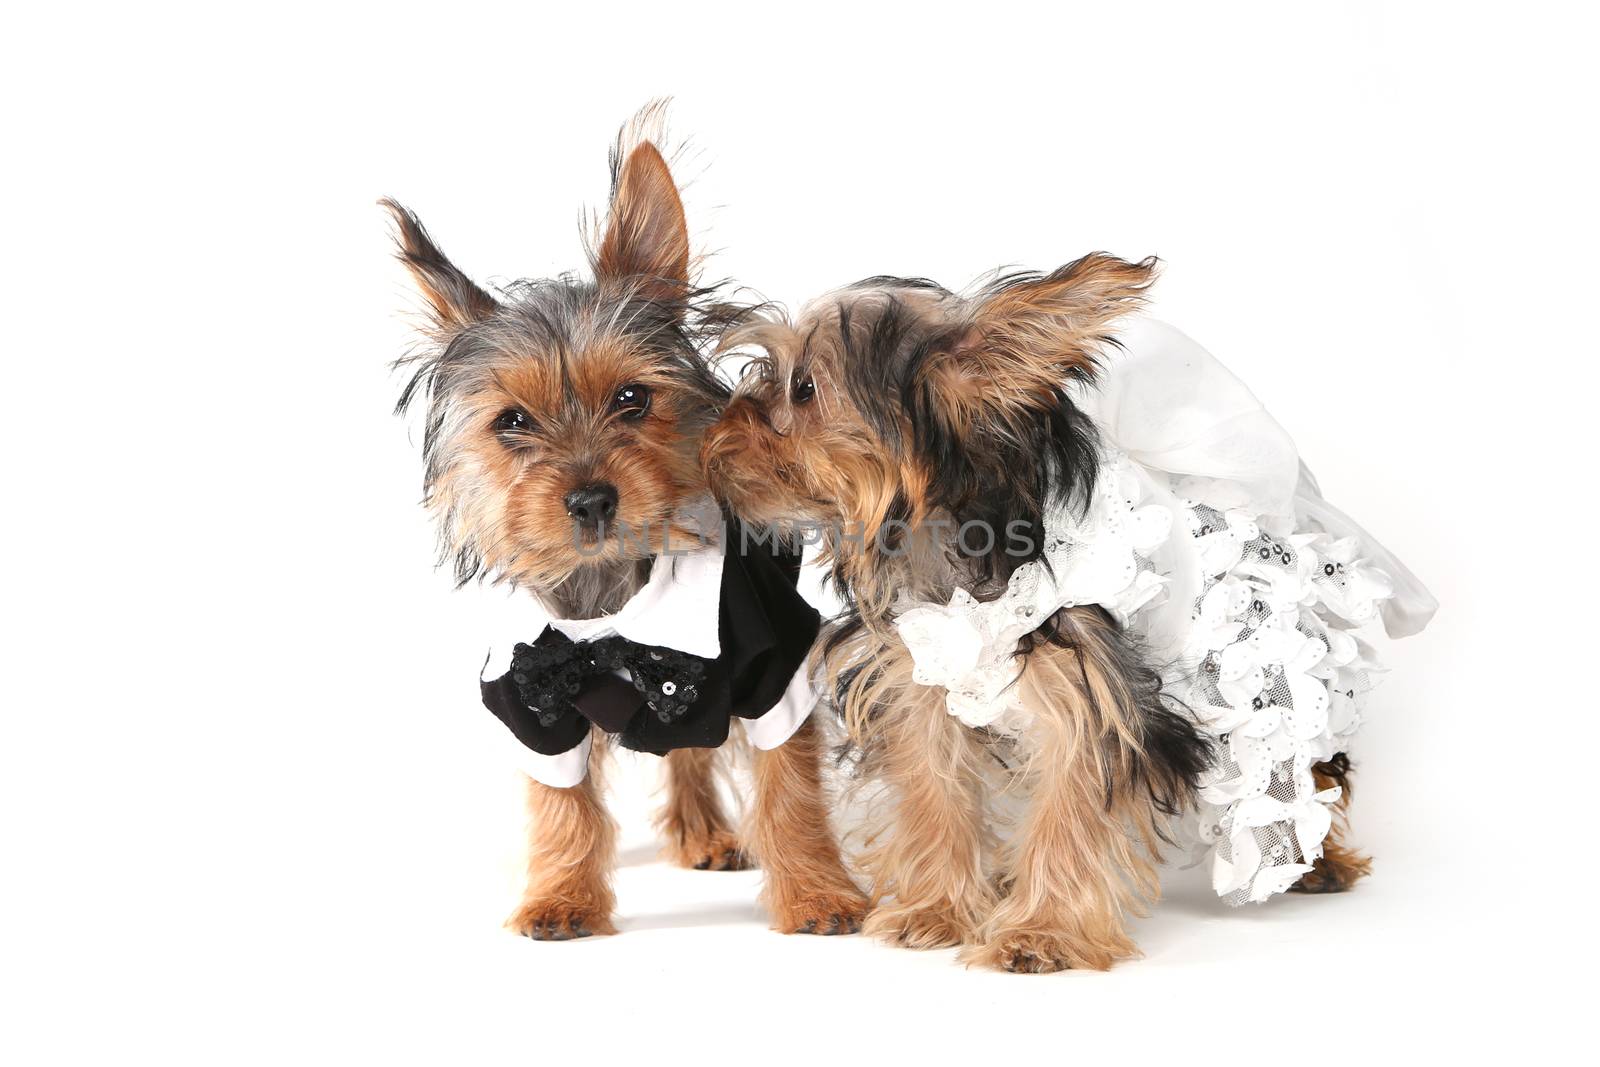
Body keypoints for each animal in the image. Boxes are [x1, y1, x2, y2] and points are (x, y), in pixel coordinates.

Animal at [385, 129, 864, 940]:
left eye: (632, 398)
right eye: (512, 421)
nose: (590, 499)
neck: (615, 611)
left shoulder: (775, 671)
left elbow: (790, 789)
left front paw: (815, 893)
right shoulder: (531, 704)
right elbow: (562, 804)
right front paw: (560, 896)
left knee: (692, 749)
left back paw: (706, 833)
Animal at [700, 255, 1209, 966]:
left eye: (803, 388)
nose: (716, 427)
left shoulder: (1093, 687)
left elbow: (1071, 803)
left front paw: (1043, 932)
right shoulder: (919, 677)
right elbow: (933, 788)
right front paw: (936, 909)